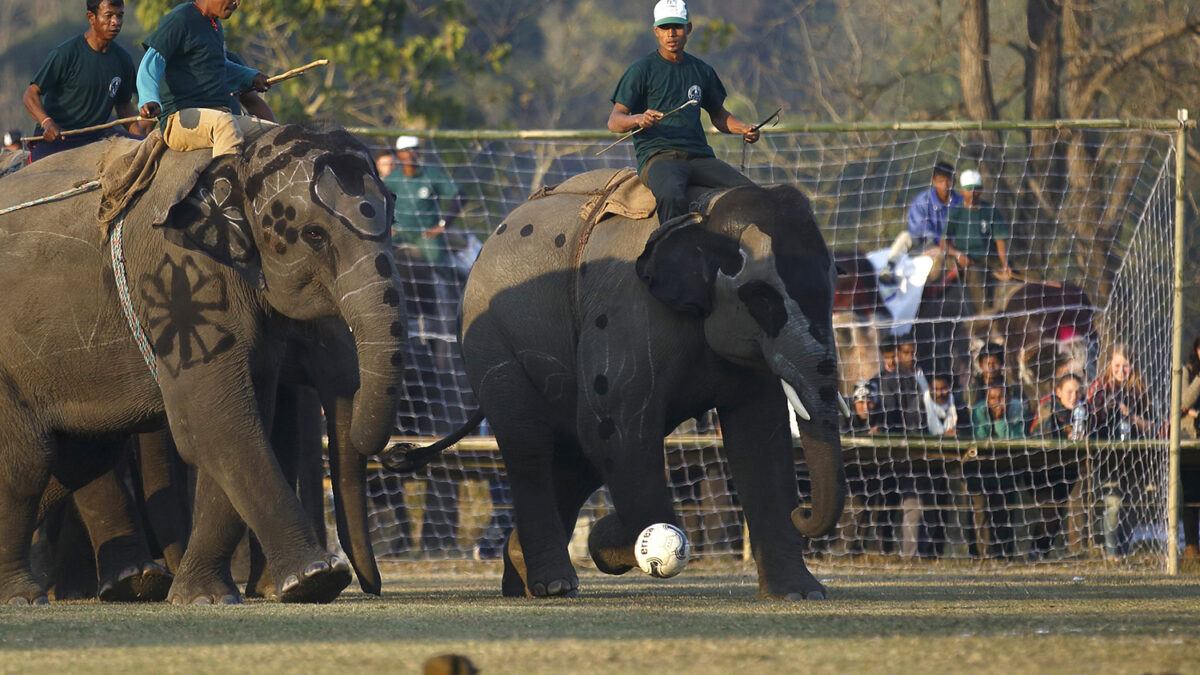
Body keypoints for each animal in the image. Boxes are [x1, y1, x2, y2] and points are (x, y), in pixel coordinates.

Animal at [0, 126, 405, 605]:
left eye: (393, 220)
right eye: (314, 234)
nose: (370, 586)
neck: (242, 150)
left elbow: (237, 422)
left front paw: (205, 596)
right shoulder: (179, 284)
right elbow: (216, 423)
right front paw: (315, 579)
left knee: (80, 455)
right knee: (28, 461)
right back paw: (31, 595)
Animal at [451, 171, 854, 598]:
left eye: (834, 288)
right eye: (762, 298)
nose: (803, 511)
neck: (706, 213)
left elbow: (760, 437)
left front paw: (800, 594)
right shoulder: (627, 314)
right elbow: (617, 431)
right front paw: (614, 542)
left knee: (576, 458)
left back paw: (523, 577)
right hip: (490, 341)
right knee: (530, 446)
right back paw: (554, 584)